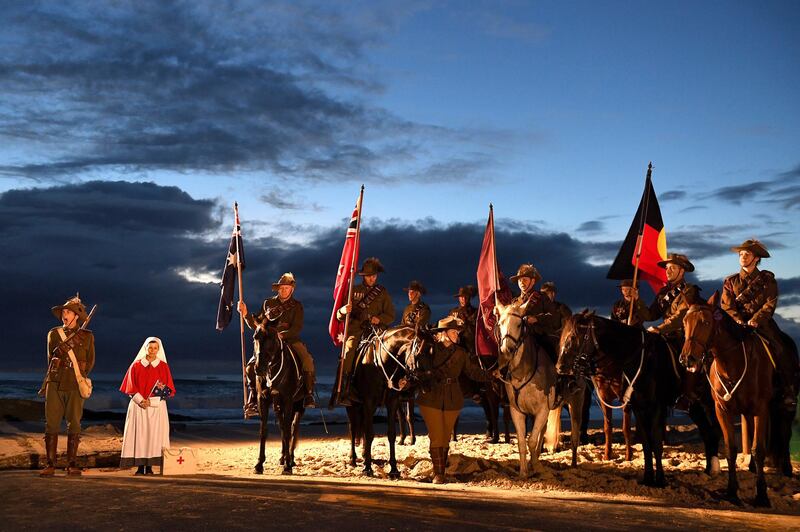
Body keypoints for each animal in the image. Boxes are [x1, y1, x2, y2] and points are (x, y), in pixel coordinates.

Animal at [253, 322, 306, 476]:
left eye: (271, 339)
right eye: (255, 338)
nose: (259, 368)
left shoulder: (288, 401)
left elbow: (288, 432)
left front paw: (288, 467)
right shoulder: (263, 400)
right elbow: (264, 431)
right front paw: (259, 464)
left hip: (299, 406)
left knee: (293, 428)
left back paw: (290, 459)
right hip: (278, 406)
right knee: (283, 427)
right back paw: (283, 457)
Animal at [346, 324, 428, 478]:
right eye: (419, 353)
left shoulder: (392, 402)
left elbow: (391, 434)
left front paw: (394, 469)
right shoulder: (369, 402)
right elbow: (369, 433)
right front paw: (367, 468)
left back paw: (365, 455)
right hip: (352, 405)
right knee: (353, 428)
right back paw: (353, 458)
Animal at [494, 298, 588, 476]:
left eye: (519, 324)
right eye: (501, 323)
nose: (507, 350)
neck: (524, 373)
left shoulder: (542, 410)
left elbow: (531, 441)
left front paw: (535, 467)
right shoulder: (517, 412)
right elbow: (523, 442)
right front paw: (524, 471)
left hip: (576, 402)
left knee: (574, 437)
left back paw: (573, 465)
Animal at [556, 310, 724, 488]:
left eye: (573, 336)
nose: (559, 366)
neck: (639, 360)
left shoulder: (656, 407)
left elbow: (655, 441)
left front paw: (660, 479)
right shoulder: (637, 407)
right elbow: (645, 442)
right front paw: (648, 477)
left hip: (709, 405)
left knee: (713, 432)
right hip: (695, 407)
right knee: (708, 433)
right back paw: (708, 470)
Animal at [680, 296, 792, 508]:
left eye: (705, 322)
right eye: (684, 323)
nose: (687, 359)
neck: (733, 364)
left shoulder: (761, 410)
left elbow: (759, 449)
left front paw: (762, 496)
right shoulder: (721, 410)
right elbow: (731, 450)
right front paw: (732, 492)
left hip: (784, 406)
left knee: (785, 433)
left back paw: (788, 469)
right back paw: (752, 467)